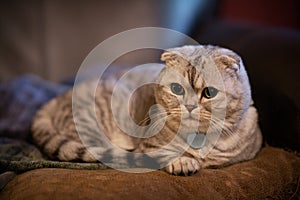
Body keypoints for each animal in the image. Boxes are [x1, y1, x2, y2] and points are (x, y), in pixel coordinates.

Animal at [30, 45, 262, 175]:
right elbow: (167, 153)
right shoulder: (148, 146)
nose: (189, 106)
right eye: (177, 89)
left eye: (209, 93)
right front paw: (184, 162)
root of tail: (59, 97)